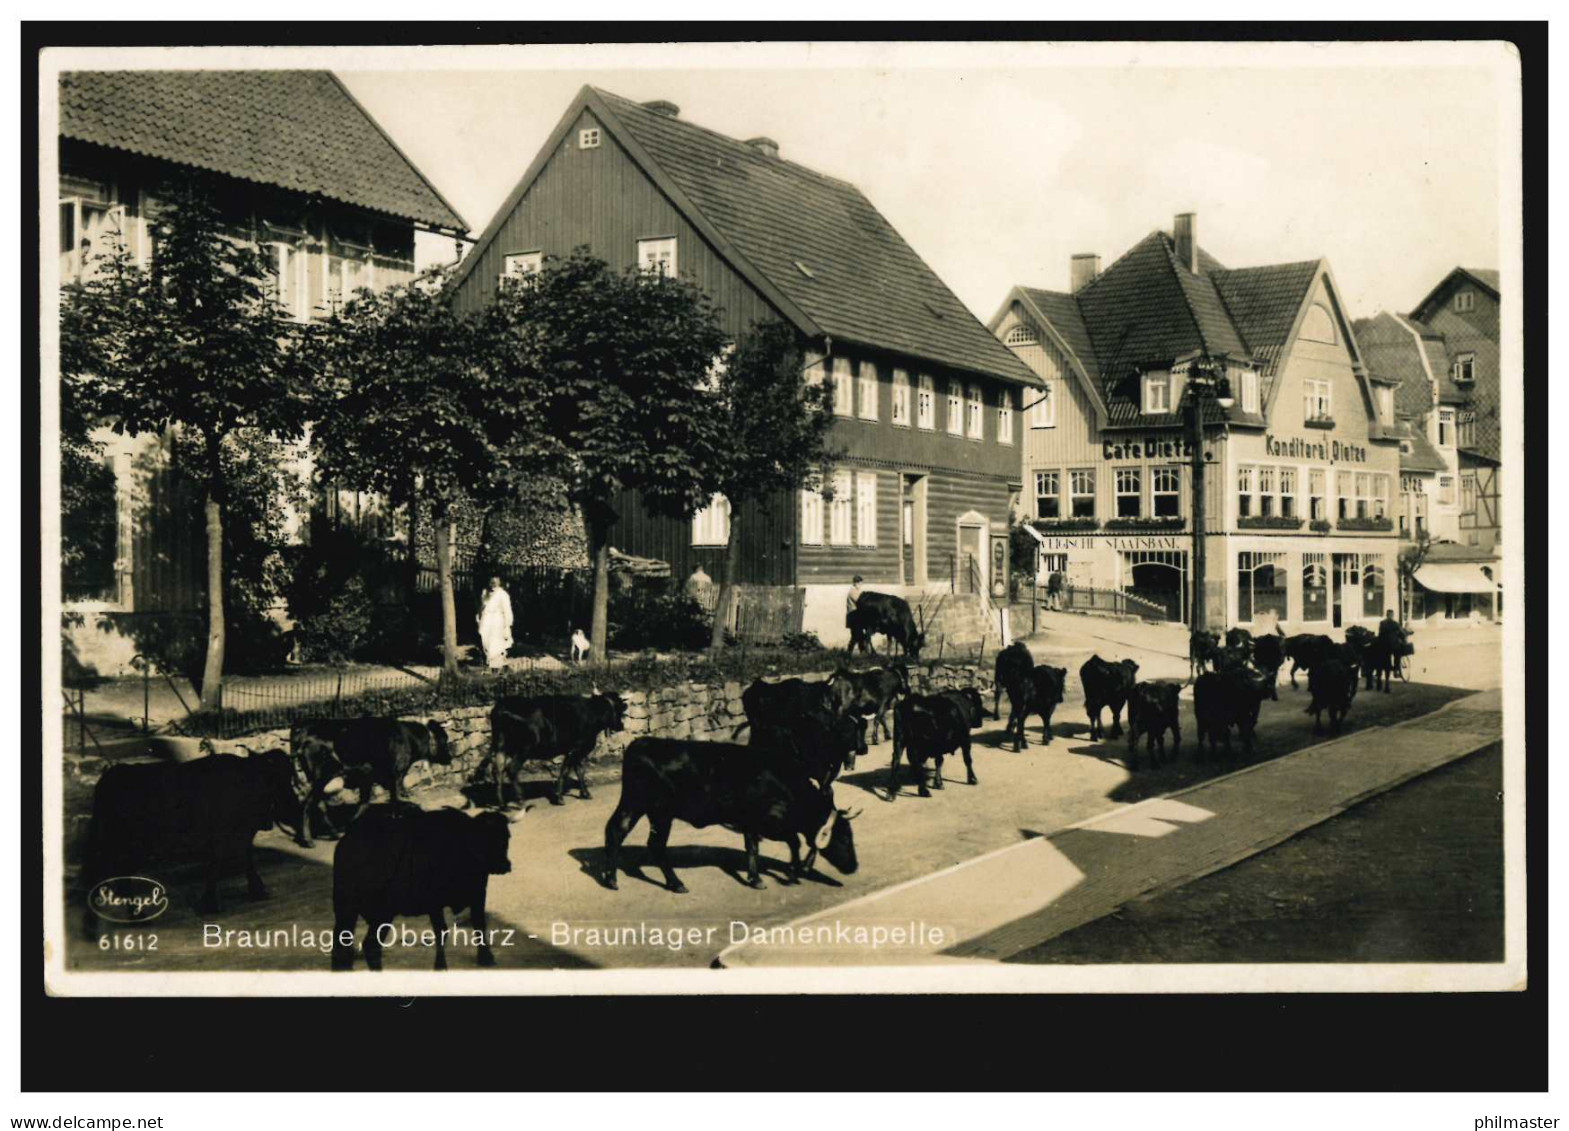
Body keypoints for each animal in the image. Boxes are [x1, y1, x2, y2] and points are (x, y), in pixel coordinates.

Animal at [81, 749, 298, 934]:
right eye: (278, 779)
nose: (292, 809)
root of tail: (113, 774)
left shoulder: (239, 834)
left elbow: (244, 860)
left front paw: (256, 891)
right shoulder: (226, 835)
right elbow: (220, 864)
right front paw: (211, 903)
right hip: (130, 846)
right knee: (113, 875)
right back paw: (134, 918)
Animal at [329, 803, 514, 972]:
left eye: (506, 837)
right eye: (486, 839)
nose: (504, 865)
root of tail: (348, 843)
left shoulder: (477, 894)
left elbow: (479, 924)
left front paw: (486, 958)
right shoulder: (437, 902)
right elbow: (443, 931)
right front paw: (441, 966)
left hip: (351, 911)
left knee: (348, 945)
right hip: (376, 912)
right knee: (367, 944)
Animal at [483, 683, 624, 809]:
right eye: (620, 709)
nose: (621, 725)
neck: (592, 713)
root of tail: (503, 706)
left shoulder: (574, 751)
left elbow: (578, 771)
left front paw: (584, 793)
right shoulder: (577, 749)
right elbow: (566, 772)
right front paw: (560, 797)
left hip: (501, 747)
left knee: (498, 771)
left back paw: (502, 805)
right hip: (524, 749)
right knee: (511, 770)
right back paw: (520, 801)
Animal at [596, 737, 859, 897]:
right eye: (844, 838)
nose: (854, 867)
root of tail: (640, 742)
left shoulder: (752, 823)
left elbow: (752, 848)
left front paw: (756, 878)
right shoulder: (771, 822)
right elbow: (793, 842)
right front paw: (792, 872)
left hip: (636, 806)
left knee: (616, 831)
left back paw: (611, 879)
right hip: (658, 812)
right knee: (653, 844)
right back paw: (676, 883)